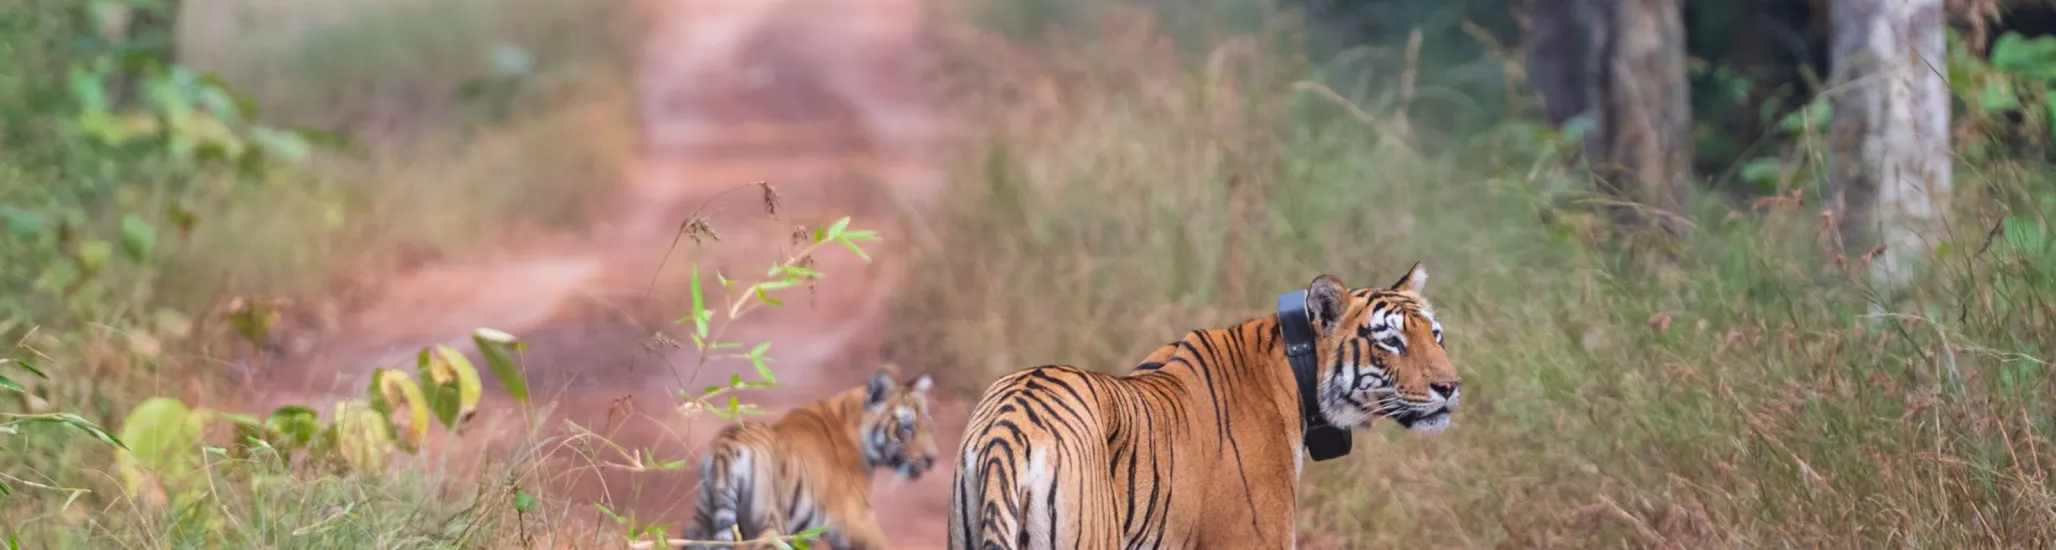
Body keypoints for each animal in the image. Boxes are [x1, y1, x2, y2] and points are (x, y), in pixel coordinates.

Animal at [684, 370, 940, 550]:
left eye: (927, 422)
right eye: (907, 427)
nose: (932, 459)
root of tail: (726, 447)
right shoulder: (858, 521)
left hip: (702, 526)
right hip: (769, 527)